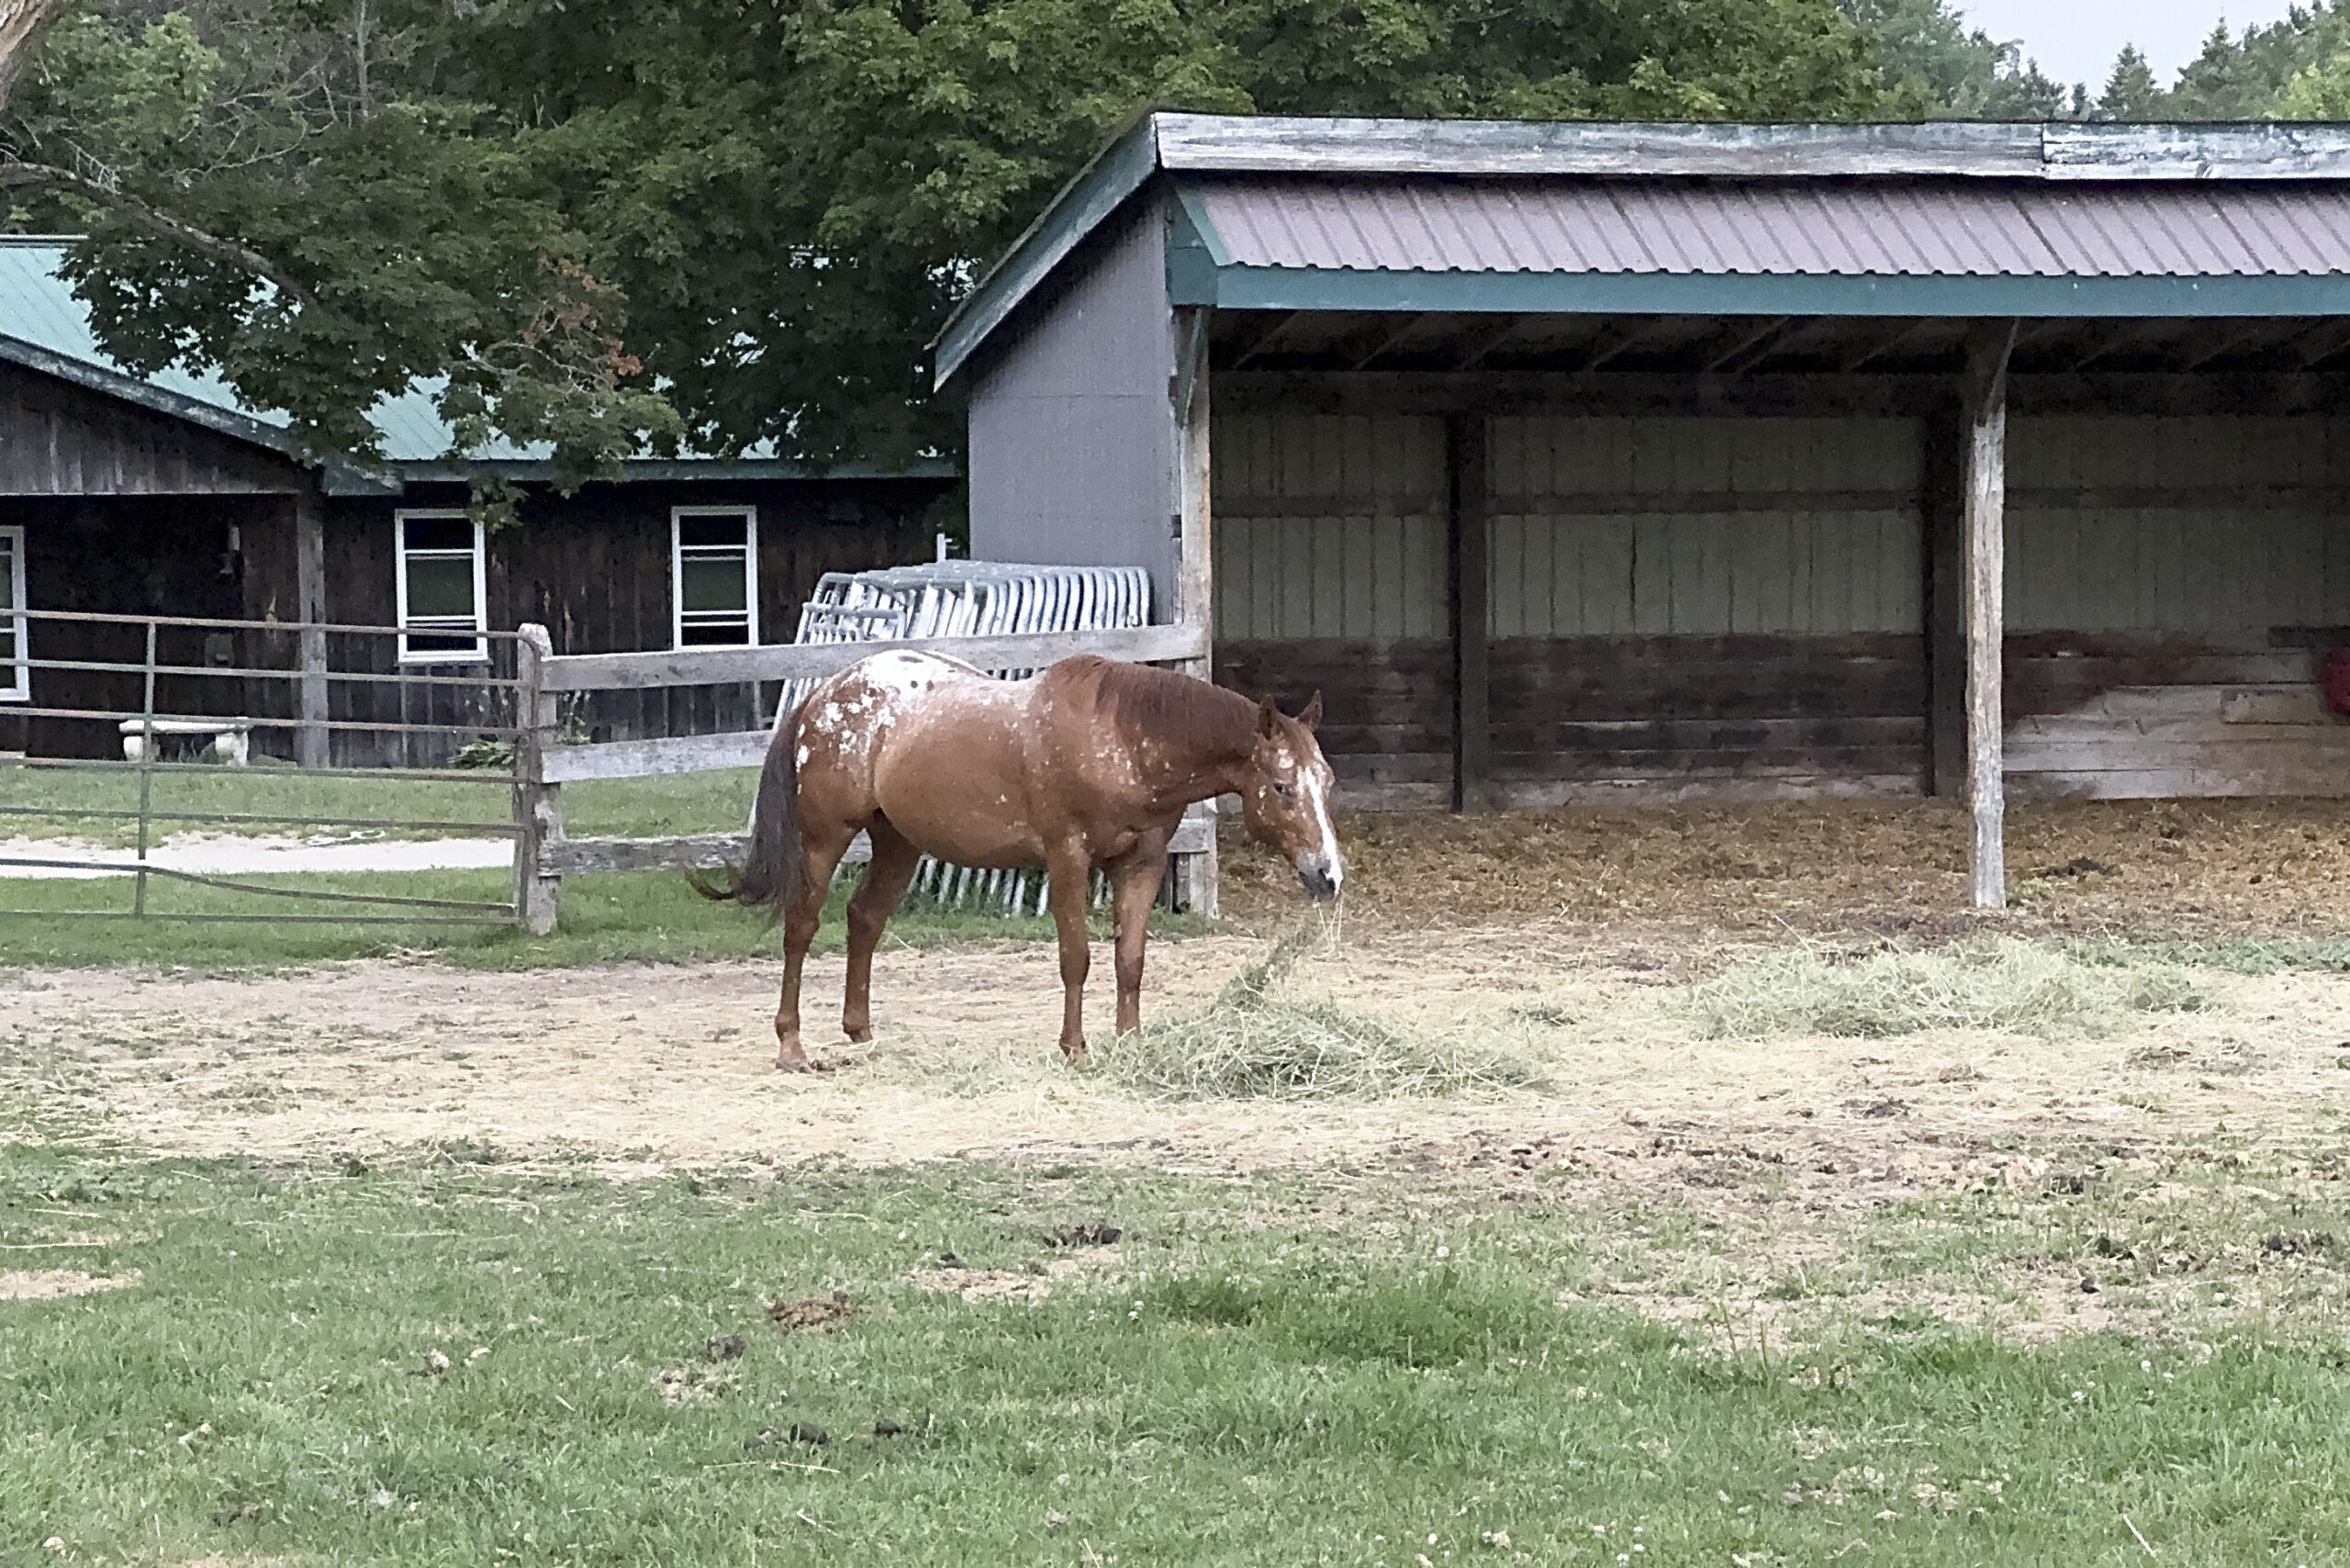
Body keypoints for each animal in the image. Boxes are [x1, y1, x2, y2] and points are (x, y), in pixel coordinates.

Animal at [693, 650, 1344, 1071]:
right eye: (1283, 787)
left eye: (1327, 781)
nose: (1328, 874)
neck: (1123, 741)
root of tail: (820, 697)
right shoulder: (1068, 858)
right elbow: (1076, 958)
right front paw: (1074, 1048)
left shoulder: (1143, 863)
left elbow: (1130, 960)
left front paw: (1130, 1042)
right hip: (825, 839)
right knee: (801, 928)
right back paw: (792, 1047)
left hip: (899, 842)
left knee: (865, 918)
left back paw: (861, 1032)